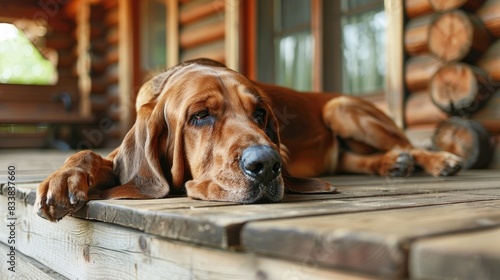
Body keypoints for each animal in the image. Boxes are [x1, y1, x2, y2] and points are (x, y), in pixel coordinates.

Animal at [36, 58, 460, 221]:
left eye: (260, 115)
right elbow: (88, 154)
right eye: (200, 116)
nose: (267, 165)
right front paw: (63, 180)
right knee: (360, 158)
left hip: (341, 107)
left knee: (407, 142)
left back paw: (438, 160)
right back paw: (392, 164)